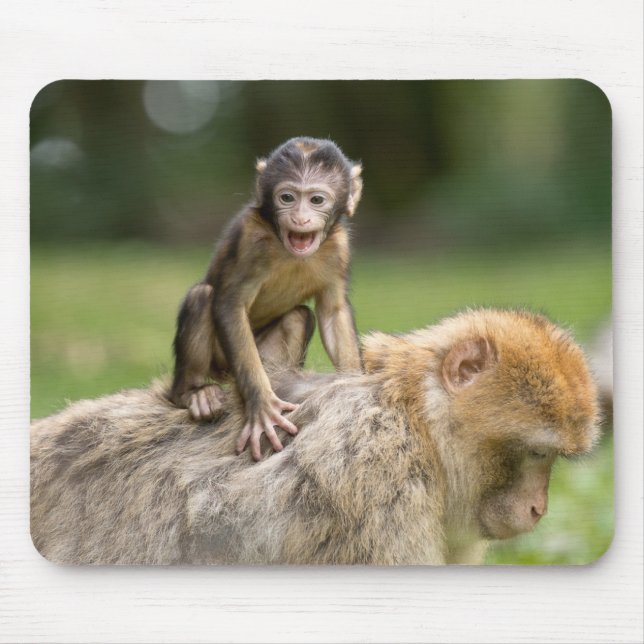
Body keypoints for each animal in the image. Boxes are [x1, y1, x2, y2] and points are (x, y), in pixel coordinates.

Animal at [169, 137, 363, 461]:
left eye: (316, 200)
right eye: (287, 197)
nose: (299, 218)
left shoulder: (340, 248)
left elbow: (332, 312)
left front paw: (353, 388)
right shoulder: (251, 240)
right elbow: (230, 305)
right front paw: (261, 406)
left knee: (298, 317)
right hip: (221, 363)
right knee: (202, 297)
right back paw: (193, 393)